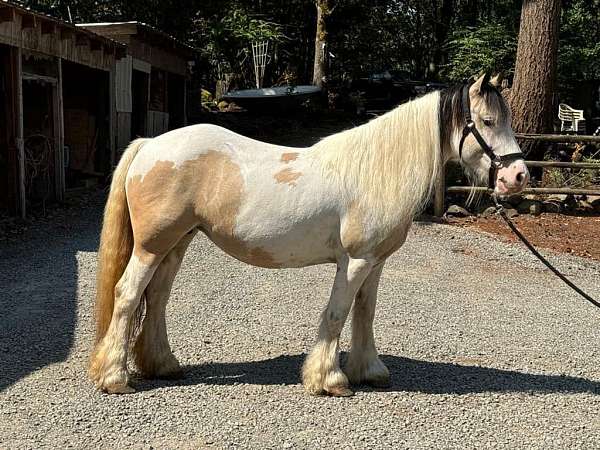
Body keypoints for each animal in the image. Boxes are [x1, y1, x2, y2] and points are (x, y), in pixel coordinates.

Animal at [89, 74, 528, 398]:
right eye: (488, 122)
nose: (518, 176)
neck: (376, 171)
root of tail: (150, 144)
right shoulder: (355, 262)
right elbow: (336, 314)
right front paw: (328, 380)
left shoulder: (375, 264)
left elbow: (364, 313)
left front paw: (369, 371)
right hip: (151, 247)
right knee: (128, 295)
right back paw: (114, 378)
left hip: (177, 244)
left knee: (157, 298)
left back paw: (163, 365)